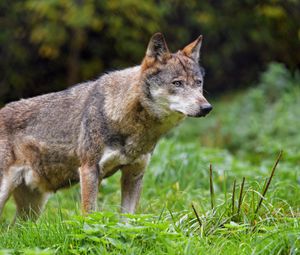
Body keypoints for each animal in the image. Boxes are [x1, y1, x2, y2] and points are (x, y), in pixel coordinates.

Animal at [0, 32, 212, 220]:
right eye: (177, 83)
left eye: (198, 83)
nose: (207, 108)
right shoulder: (89, 171)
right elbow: (89, 216)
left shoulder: (134, 173)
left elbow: (127, 220)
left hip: (32, 209)